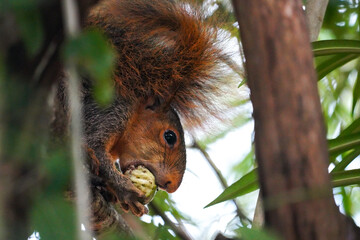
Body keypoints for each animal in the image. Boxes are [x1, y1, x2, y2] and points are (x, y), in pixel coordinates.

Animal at [53, 0, 228, 220]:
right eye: (170, 137)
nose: (171, 185)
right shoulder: (109, 112)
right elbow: (95, 145)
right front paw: (125, 190)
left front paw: (112, 192)